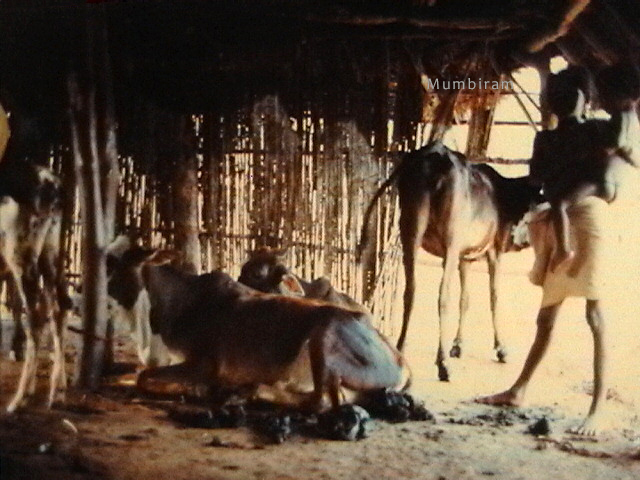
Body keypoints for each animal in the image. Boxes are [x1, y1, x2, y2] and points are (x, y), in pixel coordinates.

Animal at [0, 158, 70, 412]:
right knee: (60, 305)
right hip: (50, 251)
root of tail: (52, 182)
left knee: (36, 315)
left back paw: (20, 399)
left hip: (20, 255)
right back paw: (57, 392)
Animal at [105, 239, 410, 412]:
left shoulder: (205, 363)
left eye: (117, 269)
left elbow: (145, 377)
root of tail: (401, 361)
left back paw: (246, 392)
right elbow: (138, 373)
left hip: (324, 334)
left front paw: (198, 389)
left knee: (321, 401)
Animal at [358, 141, 544, 380]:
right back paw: (442, 363)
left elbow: (465, 299)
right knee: (442, 296)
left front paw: (458, 345)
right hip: (450, 240)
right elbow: (494, 297)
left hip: (411, 229)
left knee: (410, 291)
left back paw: (402, 351)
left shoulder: (465, 257)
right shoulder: (493, 250)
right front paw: (501, 348)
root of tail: (431, 154)